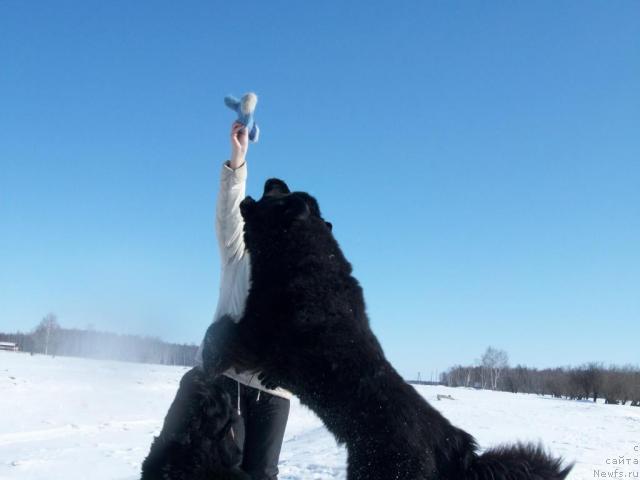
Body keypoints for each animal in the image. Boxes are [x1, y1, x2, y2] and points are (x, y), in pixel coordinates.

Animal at [200, 178, 568, 478]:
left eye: (280, 196)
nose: (273, 179)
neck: (304, 261)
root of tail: (455, 452)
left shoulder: (257, 333)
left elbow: (218, 333)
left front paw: (207, 362)